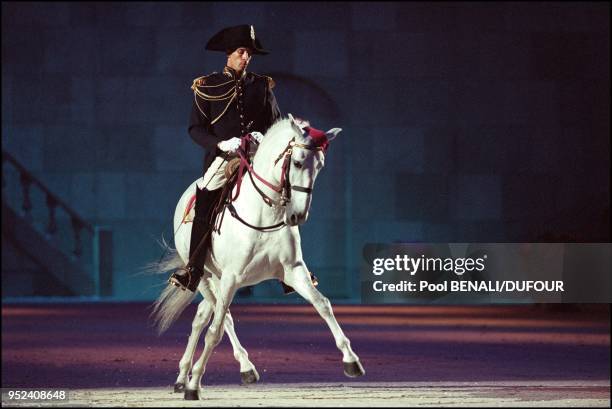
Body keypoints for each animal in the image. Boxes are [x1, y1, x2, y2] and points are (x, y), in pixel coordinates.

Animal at [151, 115, 366, 398]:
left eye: (320, 166)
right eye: (297, 162)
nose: (298, 215)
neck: (266, 214)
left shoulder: (293, 270)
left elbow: (323, 304)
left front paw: (351, 360)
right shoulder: (231, 278)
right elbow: (216, 329)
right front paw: (194, 384)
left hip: (217, 280)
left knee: (201, 316)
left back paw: (190, 374)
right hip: (206, 277)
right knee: (218, 317)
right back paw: (209, 373)